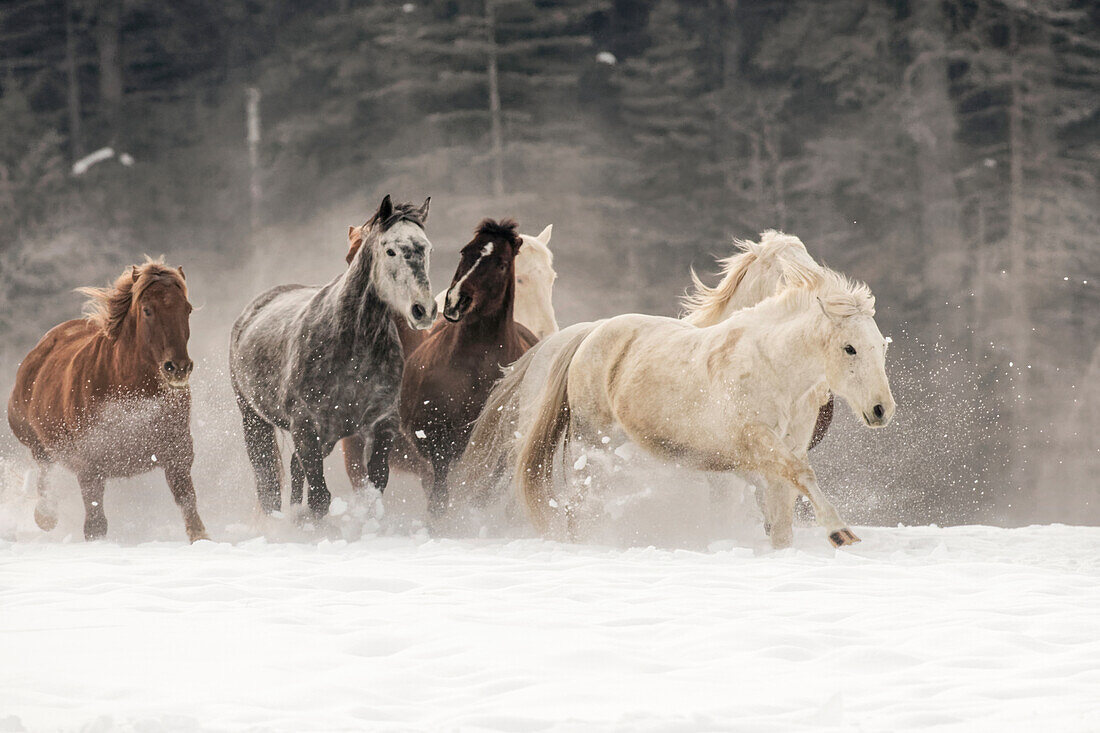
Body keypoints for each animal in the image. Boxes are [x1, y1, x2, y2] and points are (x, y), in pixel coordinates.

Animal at [6, 259, 207, 539]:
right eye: (147, 310)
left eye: (186, 309)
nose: (178, 368)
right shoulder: (90, 464)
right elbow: (95, 523)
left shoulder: (177, 453)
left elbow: (188, 504)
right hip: (36, 442)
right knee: (45, 469)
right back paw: (46, 516)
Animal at [404, 220, 541, 517]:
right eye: (464, 251)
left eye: (501, 263)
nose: (456, 301)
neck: (476, 369)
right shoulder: (438, 443)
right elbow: (440, 498)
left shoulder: (493, 453)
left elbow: (477, 496)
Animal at [514, 254, 893, 545]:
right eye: (849, 348)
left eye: (881, 345)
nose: (881, 410)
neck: (771, 367)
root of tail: (592, 331)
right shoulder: (757, 440)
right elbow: (801, 475)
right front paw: (841, 532)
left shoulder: (787, 447)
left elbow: (782, 507)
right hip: (591, 441)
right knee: (579, 500)